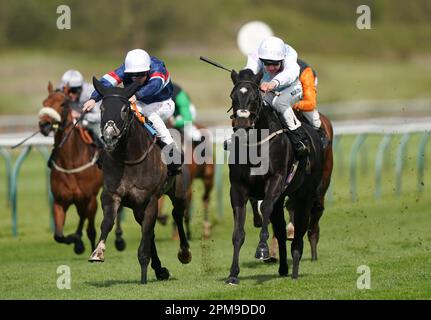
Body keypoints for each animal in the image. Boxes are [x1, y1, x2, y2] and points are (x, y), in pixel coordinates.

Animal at [37, 82, 125, 255]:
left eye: (63, 104)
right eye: (44, 103)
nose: (44, 125)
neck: (71, 161)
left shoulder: (90, 199)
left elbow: (91, 230)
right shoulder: (60, 201)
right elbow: (58, 235)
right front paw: (75, 240)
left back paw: (119, 239)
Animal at [88, 77, 192, 284]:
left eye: (124, 109)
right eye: (102, 108)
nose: (110, 137)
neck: (129, 159)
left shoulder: (150, 199)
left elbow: (147, 234)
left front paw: (144, 274)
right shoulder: (112, 195)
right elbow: (108, 222)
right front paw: (98, 252)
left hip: (178, 192)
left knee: (177, 214)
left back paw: (184, 253)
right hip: (137, 208)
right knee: (149, 229)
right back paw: (160, 270)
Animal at [226, 69, 324, 282]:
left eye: (255, 97)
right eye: (233, 96)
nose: (242, 123)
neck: (255, 144)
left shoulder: (276, 181)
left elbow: (265, 208)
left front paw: (262, 249)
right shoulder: (238, 188)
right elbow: (238, 233)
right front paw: (233, 274)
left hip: (304, 195)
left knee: (299, 229)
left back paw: (295, 267)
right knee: (279, 229)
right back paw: (284, 268)